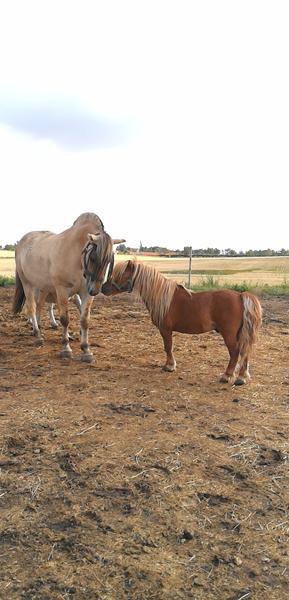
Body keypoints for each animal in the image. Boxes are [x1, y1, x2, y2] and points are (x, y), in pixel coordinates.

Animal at [12, 212, 124, 360]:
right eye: (93, 257)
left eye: (108, 260)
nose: (95, 290)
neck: (76, 254)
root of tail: (21, 242)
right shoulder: (62, 289)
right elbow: (65, 319)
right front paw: (66, 348)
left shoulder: (85, 292)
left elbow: (84, 320)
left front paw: (86, 350)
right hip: (28, 284)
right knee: (32, 307)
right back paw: (37, 335)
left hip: (43, 287)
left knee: (40, 306)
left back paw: (41, 329)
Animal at [102, 258, 260, 384]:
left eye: (120, 274)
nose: (103, 288)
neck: (161, 296)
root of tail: (240, 295)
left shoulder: (165, 330)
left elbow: (168, 347)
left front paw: (169, 366)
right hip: (240, 333)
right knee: (244, 351)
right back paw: (241, 377)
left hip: (229, 334)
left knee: (235, 352)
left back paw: (227, 376)